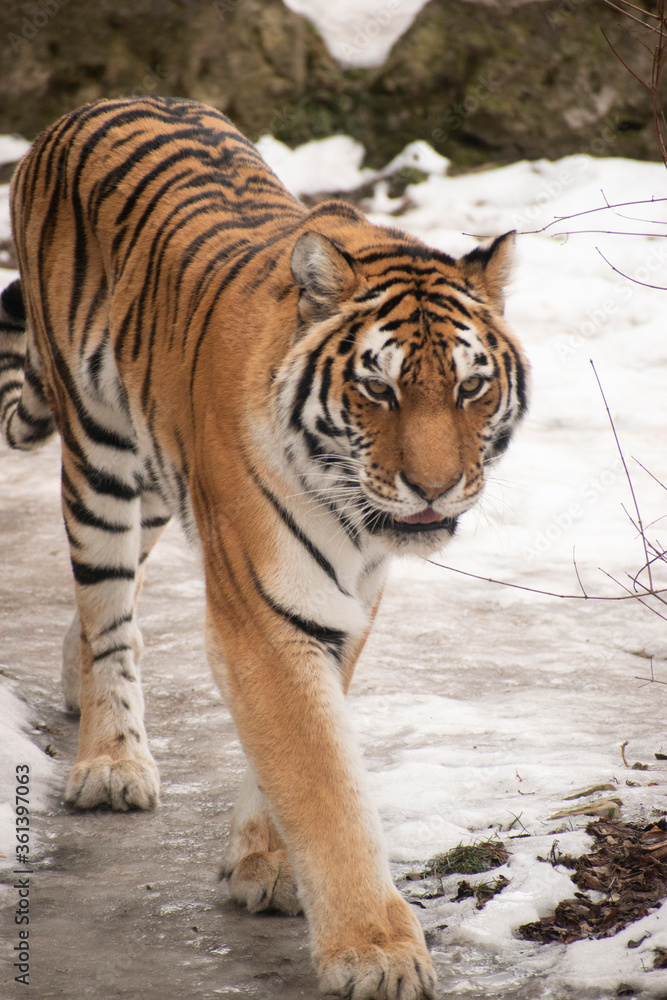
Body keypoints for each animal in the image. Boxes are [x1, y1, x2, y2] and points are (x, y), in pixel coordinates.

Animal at [0, 96, 528, 1000]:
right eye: (378, 387)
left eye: (470, 387)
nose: (433, 489)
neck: (355, 516)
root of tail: (93, 105)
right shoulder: (268, 611)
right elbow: (323, 780)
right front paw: (376, 952)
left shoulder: (343, 605)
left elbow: (301, 744)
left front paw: (266, 863)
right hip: (99, 455)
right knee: (106, 611)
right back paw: (110, 762)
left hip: (155, 480)